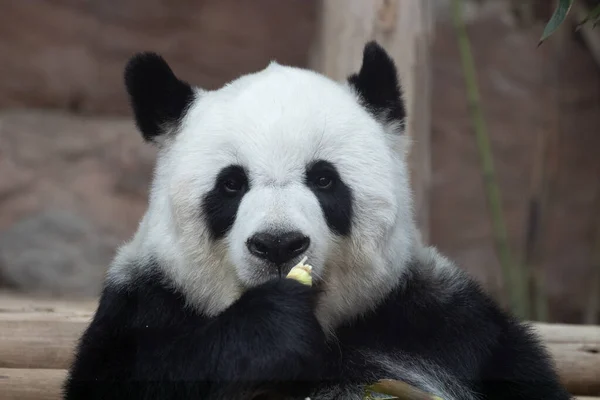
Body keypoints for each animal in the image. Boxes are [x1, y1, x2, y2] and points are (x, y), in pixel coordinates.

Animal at [62, 41, 572, 400]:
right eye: (231, 185)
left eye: (324, 179)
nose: (278, 244)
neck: (326, 329)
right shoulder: (144, 305)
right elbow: (118, 378)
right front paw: (271, 330)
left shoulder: (439, 324)